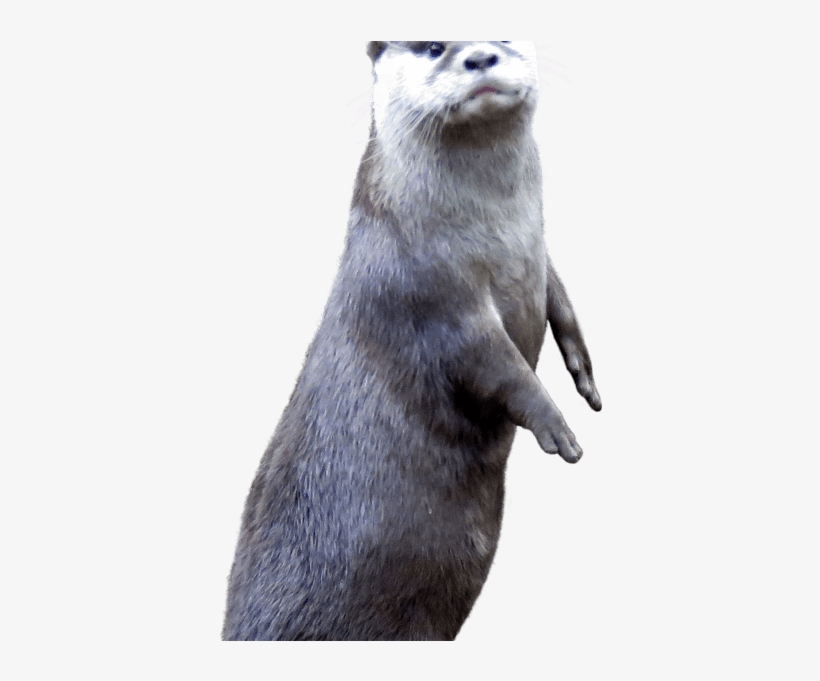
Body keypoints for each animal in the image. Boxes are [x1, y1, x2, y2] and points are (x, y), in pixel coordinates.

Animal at [223, 41, 601, 641]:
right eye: (432, 46)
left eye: (506, 35)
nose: (480, 57)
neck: (502, 234)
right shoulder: (430, 291)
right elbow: (496, 365)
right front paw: (558, 428)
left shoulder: (539, 255)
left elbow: (559, 299)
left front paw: (584, 374)